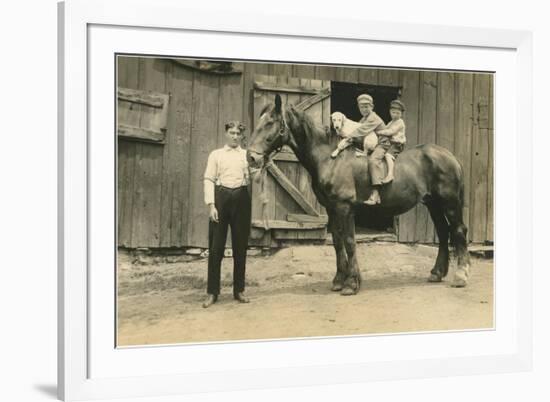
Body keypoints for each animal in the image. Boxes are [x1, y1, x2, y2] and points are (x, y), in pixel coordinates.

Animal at [248, 94, 472, 296]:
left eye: (270, 122)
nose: (251, 157)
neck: (330, 158)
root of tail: (449, 156)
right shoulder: (332, 209)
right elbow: (337, 242)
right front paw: (338, 281)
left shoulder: (345, 208)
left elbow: (349, 241)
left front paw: (351, 284)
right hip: (433, 204)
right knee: (443, 232)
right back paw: (437, 273)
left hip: (450, 203)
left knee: (458, 231)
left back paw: (461, 276)